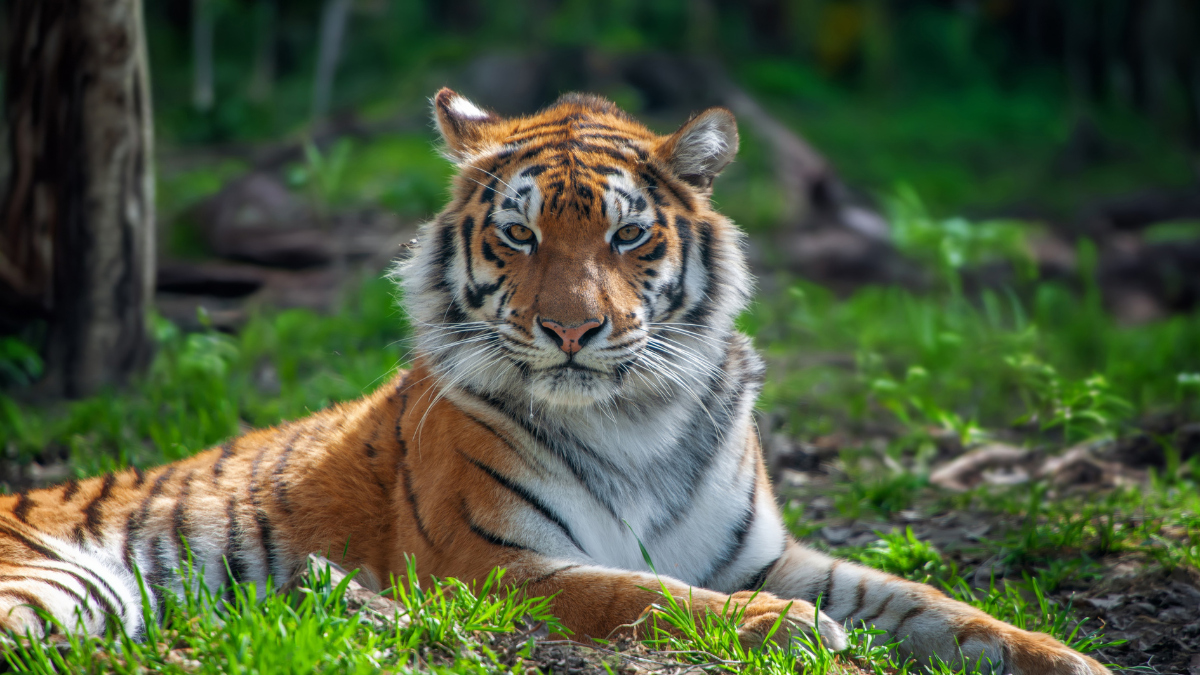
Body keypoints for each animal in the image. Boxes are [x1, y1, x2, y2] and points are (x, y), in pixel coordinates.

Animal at [0, 88, 1107, 674]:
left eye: (627, 236)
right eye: (521, 236)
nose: (572, 329)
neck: (636, 415)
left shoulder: (757, 552)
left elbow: (928, 601)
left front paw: (1065, 655)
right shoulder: (490, 562)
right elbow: (641, 593)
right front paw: (785, 629)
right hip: (55, 589)